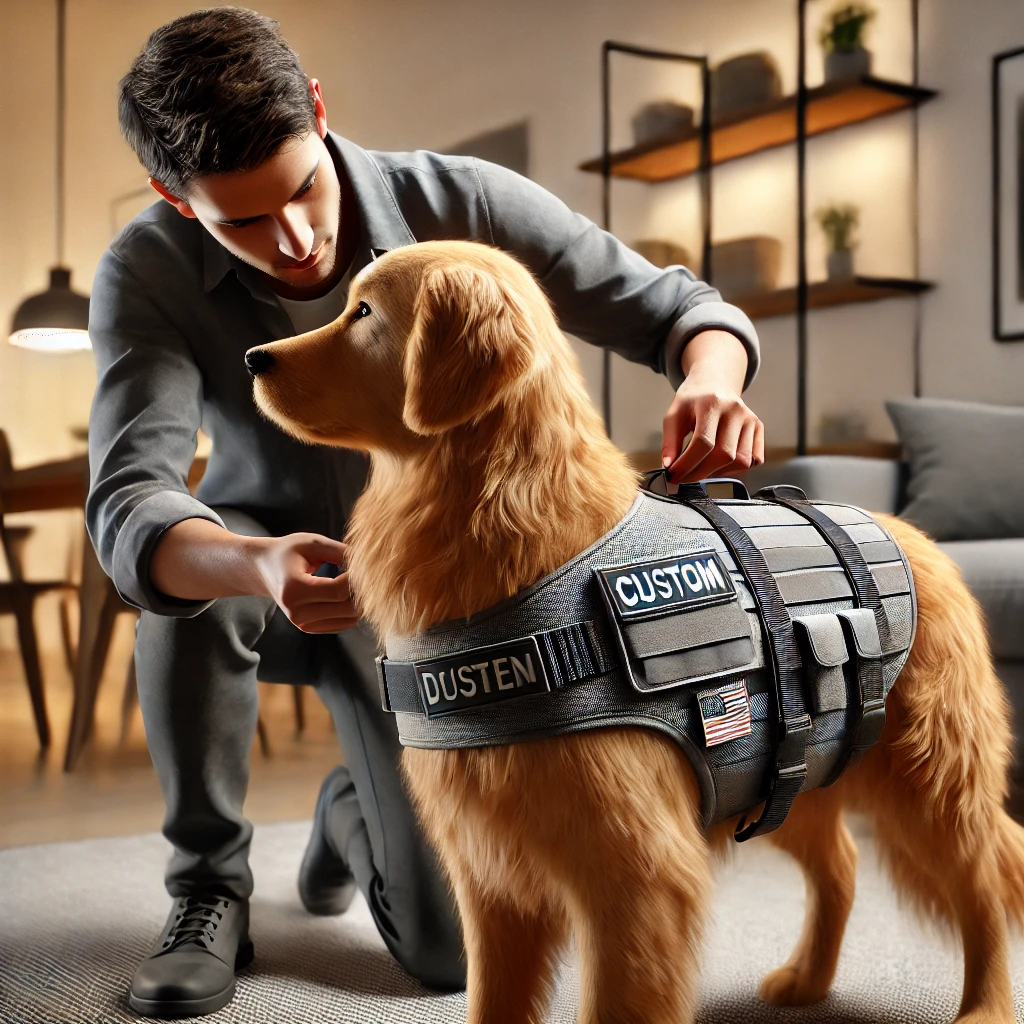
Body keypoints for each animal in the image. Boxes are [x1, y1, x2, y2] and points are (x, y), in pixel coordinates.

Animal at [249, 241, 1024, 1024]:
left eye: (365, 312)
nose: (255, 358)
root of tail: (916, 537)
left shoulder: (635, 875)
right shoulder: (491, 874)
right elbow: (494, 999)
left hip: (931, 778)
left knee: (984, 879)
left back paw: (985, 1004)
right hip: (790, 769)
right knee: (843, 861)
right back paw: (808, 977)